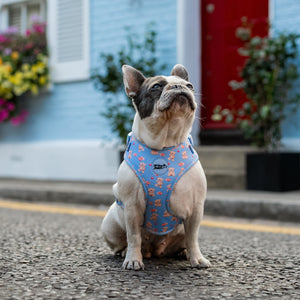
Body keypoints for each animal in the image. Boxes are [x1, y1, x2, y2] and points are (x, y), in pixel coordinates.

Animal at [101, 64, 211, 270]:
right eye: (157, 86)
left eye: (190, 86)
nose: (178, 87)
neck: (165, 144)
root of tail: (155, 250)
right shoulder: (132, 207)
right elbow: (134, 236)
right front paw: (133, 259)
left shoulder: (195, 208)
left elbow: (193, 237)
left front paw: (197, 258)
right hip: (109, 224)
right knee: (123, 241)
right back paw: (124, 252)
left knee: (184, 240)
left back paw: (182, 252)